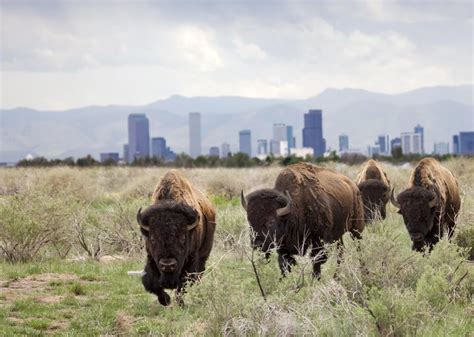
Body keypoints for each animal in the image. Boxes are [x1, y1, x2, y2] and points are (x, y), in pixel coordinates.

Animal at [137, 169, 217, 304]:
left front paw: (180, 303)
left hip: (204, 254)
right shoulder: (151, 260)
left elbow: (182, 286)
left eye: (183, 238)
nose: (168, 265)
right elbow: (151, 283)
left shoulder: (190, 262)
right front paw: (166, 300)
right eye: (152, 239)